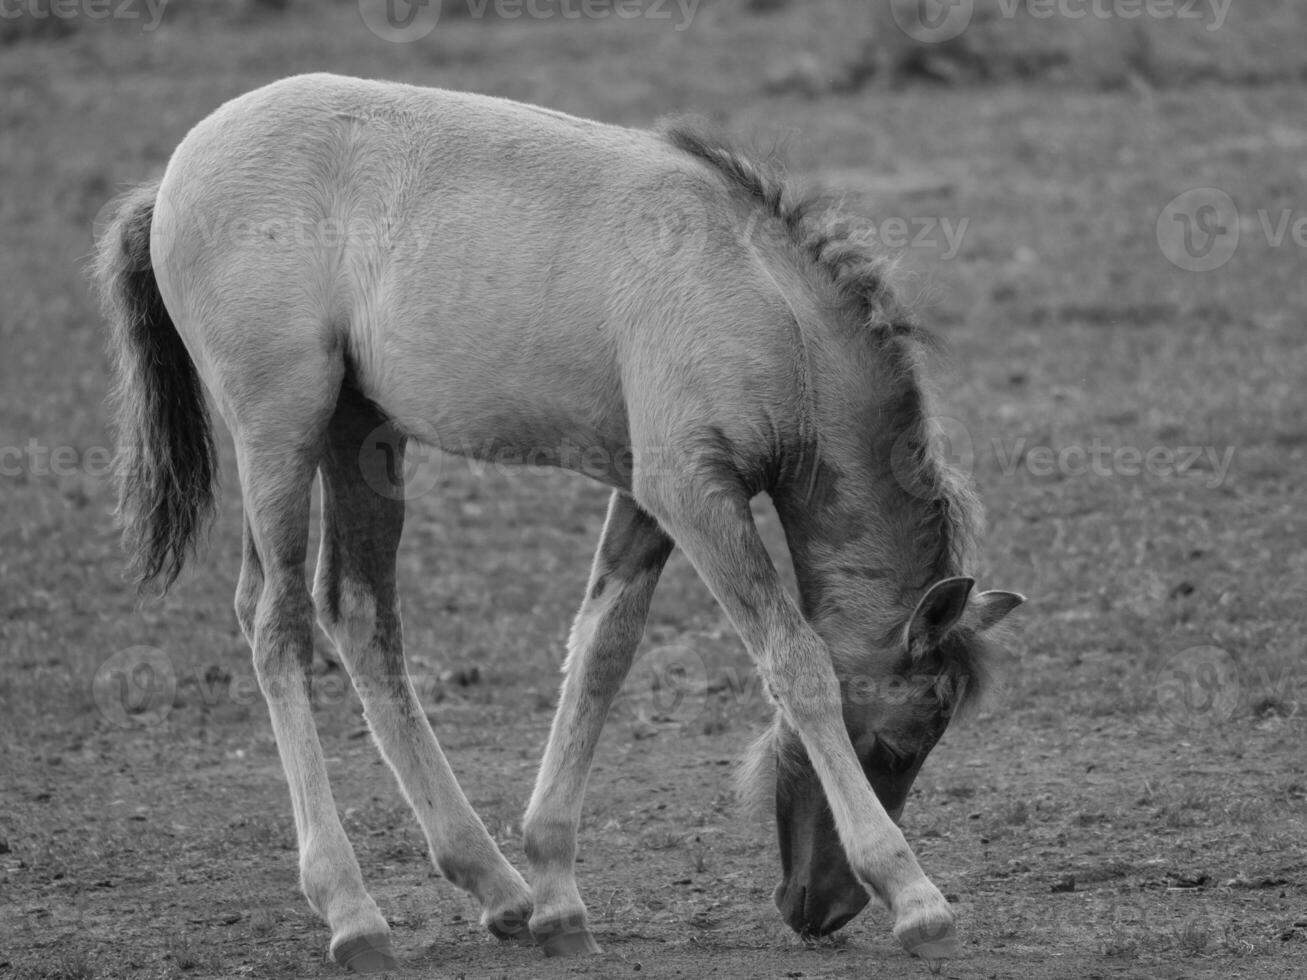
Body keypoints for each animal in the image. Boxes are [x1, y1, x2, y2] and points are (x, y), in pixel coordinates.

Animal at [96, 74, 1024, 977]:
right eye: (901, 745)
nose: (817, 911)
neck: (762, 298)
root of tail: (169, 180)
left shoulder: (649, 495)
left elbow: (601, 653)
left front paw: (556, 895)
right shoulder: (691, 490)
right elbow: (795, 665)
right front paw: (914, 896)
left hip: (359, 433)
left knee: (358, 615)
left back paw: (494, 885)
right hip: (279, 432)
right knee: (276, 623)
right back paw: (351, 912)